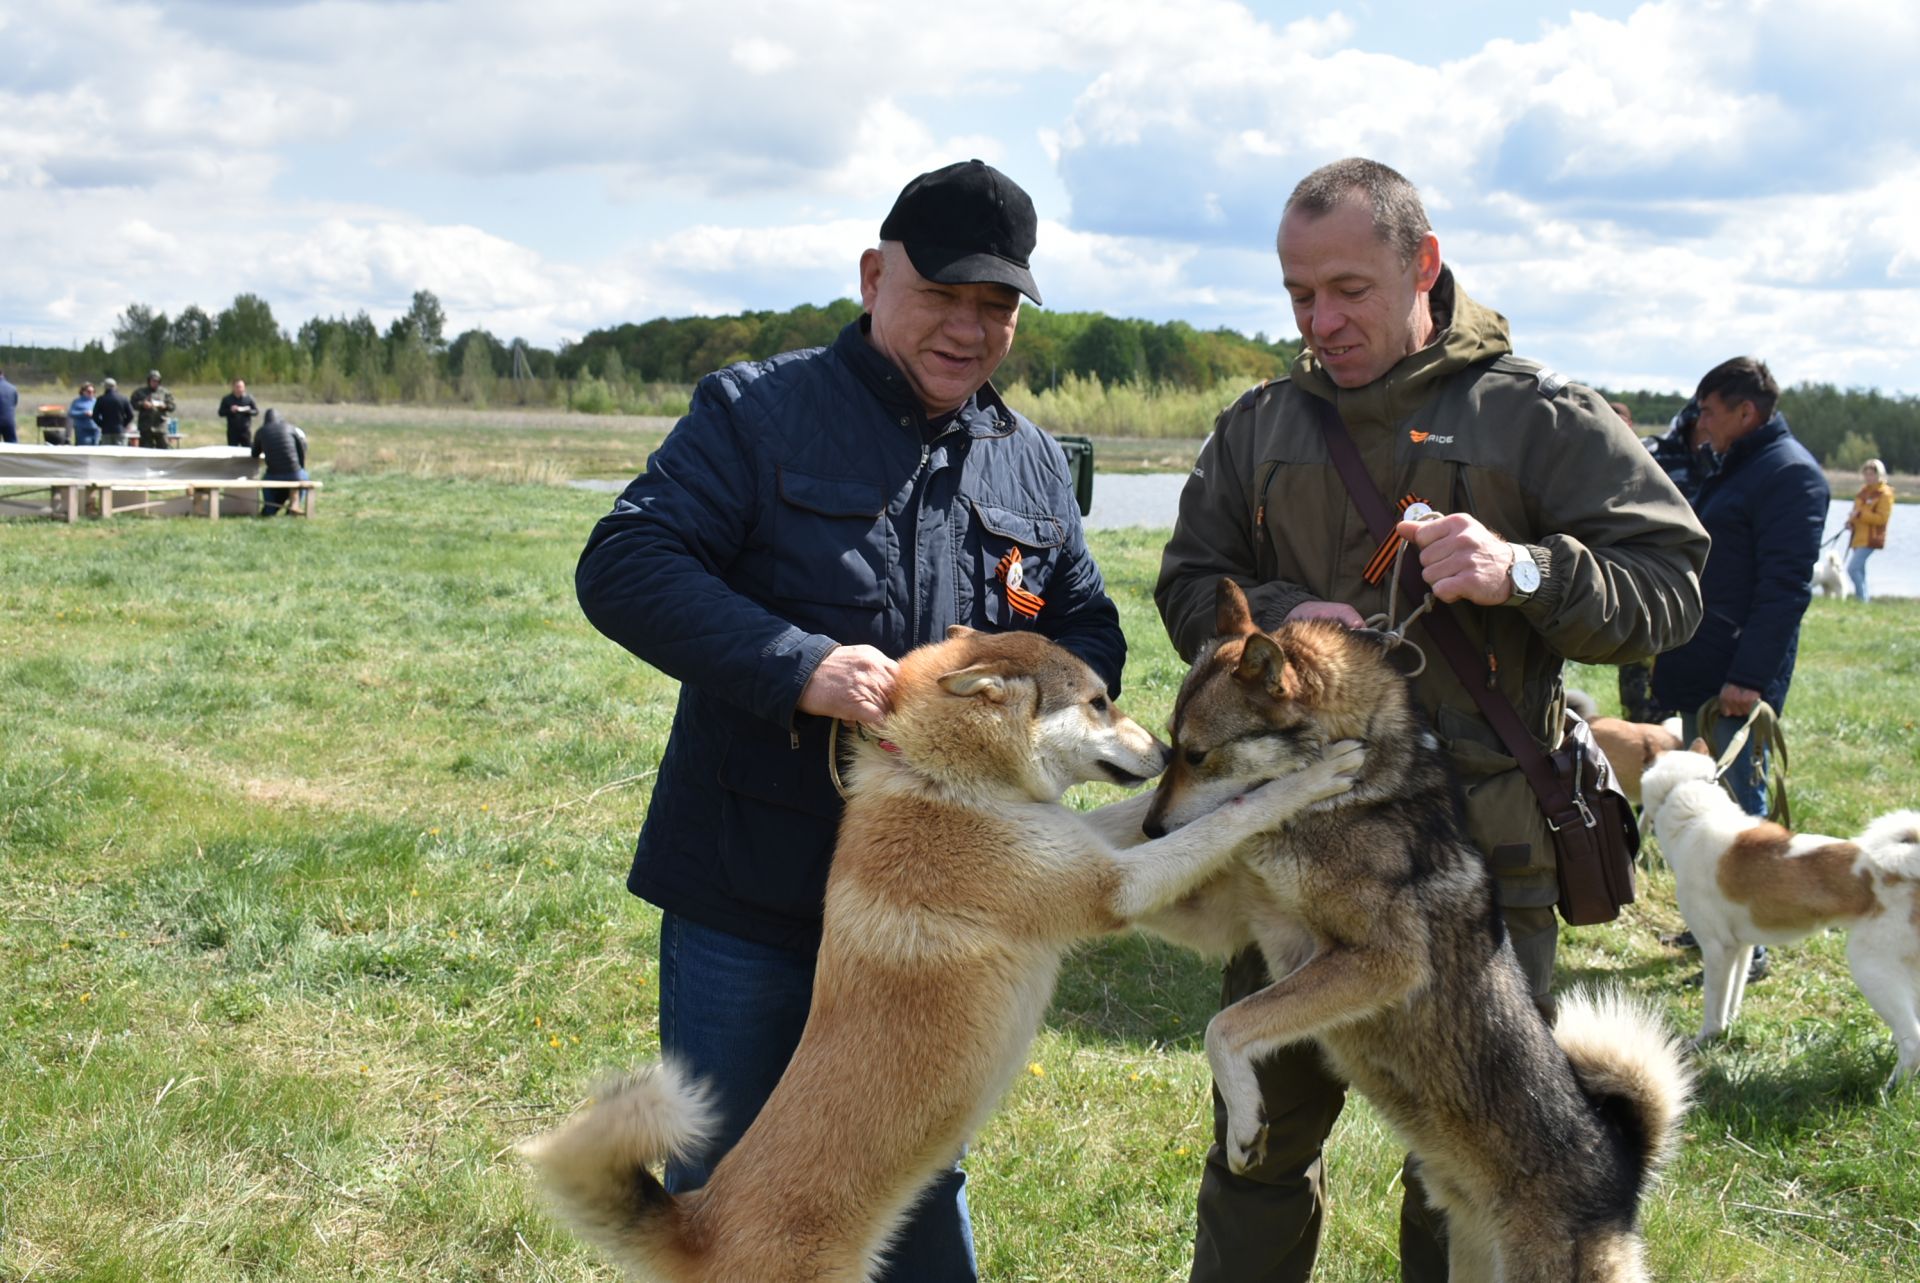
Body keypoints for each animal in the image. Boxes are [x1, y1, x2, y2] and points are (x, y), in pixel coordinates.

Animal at [522, 626, 1367, 1275]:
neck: (943, 780)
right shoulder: (1117, 885)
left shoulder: (1088, 843)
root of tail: (697, 1227)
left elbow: (1141, 819)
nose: (1165, 750)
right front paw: (1310, 774)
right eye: (1099, 701)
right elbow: (1227, 820)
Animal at [1635, 741, 1920, 1090]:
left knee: (1913, 1041)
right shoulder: (1739, 949)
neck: (1694, 809)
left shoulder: (1716, 949)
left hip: (1872, 968)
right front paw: (1727, 1031)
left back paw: (1890, 1089)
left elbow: (1712, 1006)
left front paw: (1704, 1040)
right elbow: (1732, 998)